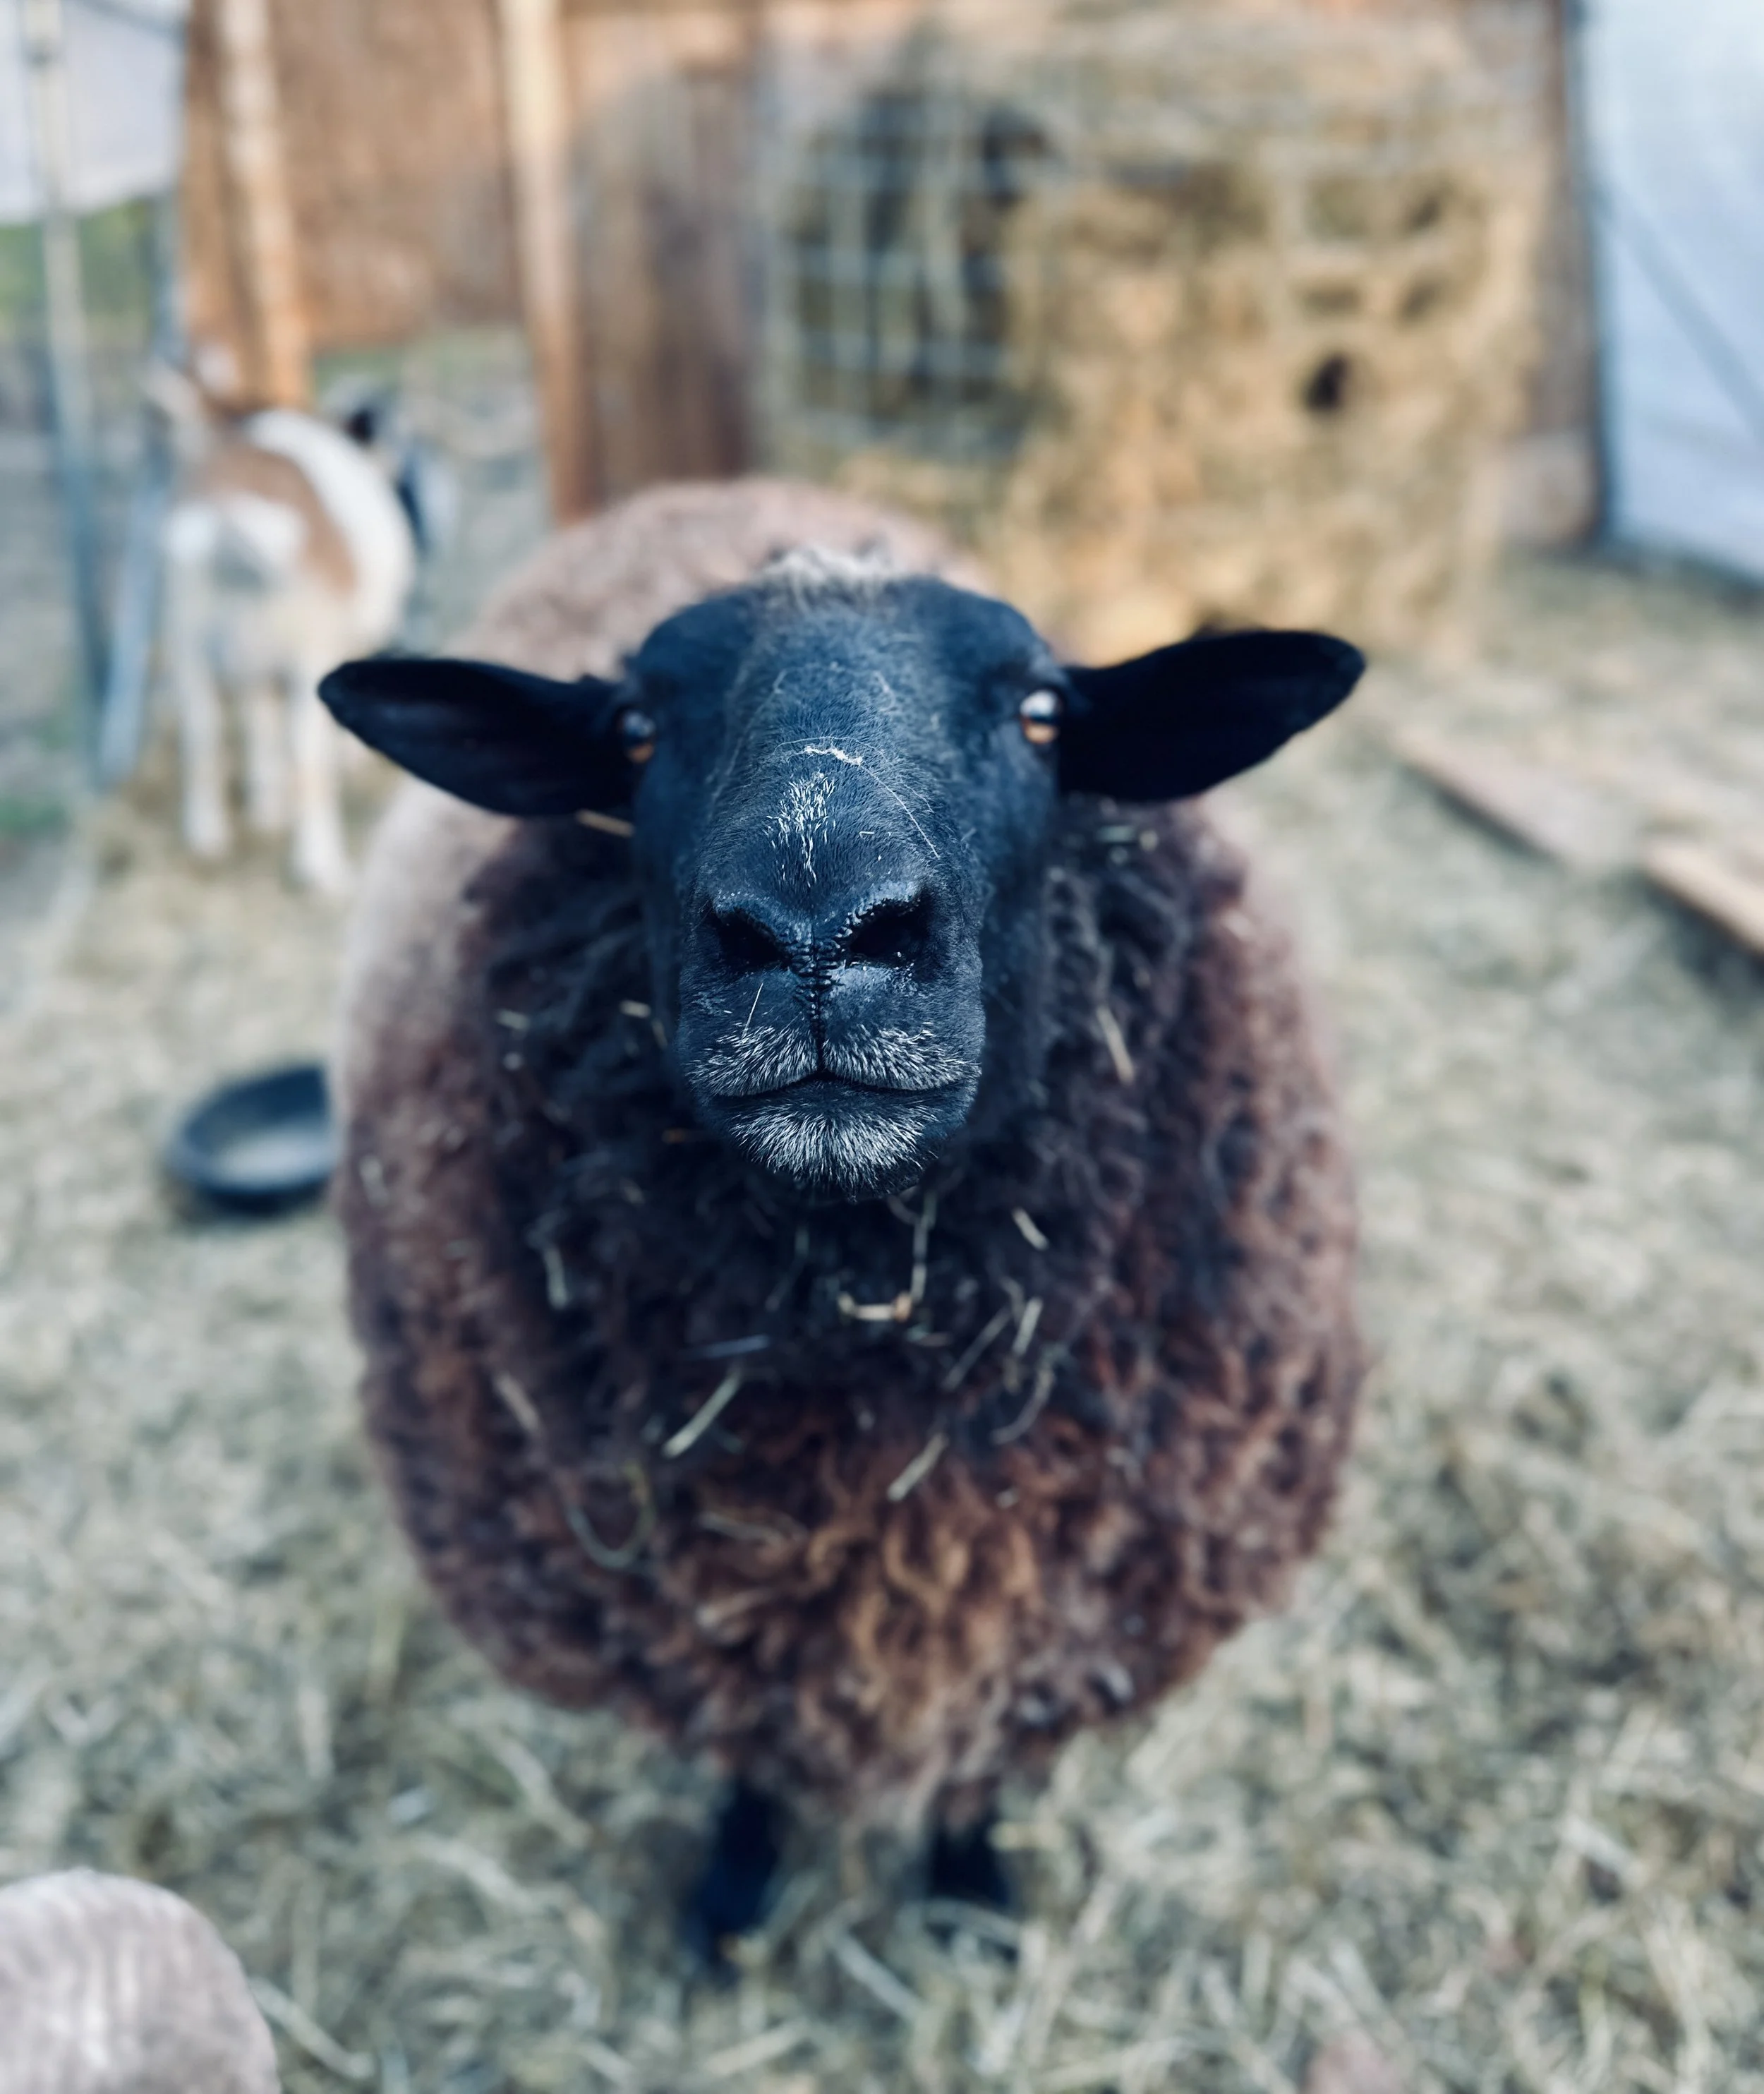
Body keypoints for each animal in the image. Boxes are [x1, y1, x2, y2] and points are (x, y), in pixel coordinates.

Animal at [158, 381, 428, 894]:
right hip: (307, 657)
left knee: (202, 737)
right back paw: (323, 867)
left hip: (188, 646)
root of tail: (230, 520)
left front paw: (266, 808)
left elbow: (258, 726)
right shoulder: (341, 641)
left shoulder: (253, 667)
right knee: (308, 760)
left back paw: (208, 838)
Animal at [321, 478, 1365, 1957]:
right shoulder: (726, 1640)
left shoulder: (1040, 1631)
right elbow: (754, 1767)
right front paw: (734, 1899)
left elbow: (978, 1769)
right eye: (636, 731)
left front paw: (972, 1894)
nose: (818, 932)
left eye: (1041, 713)